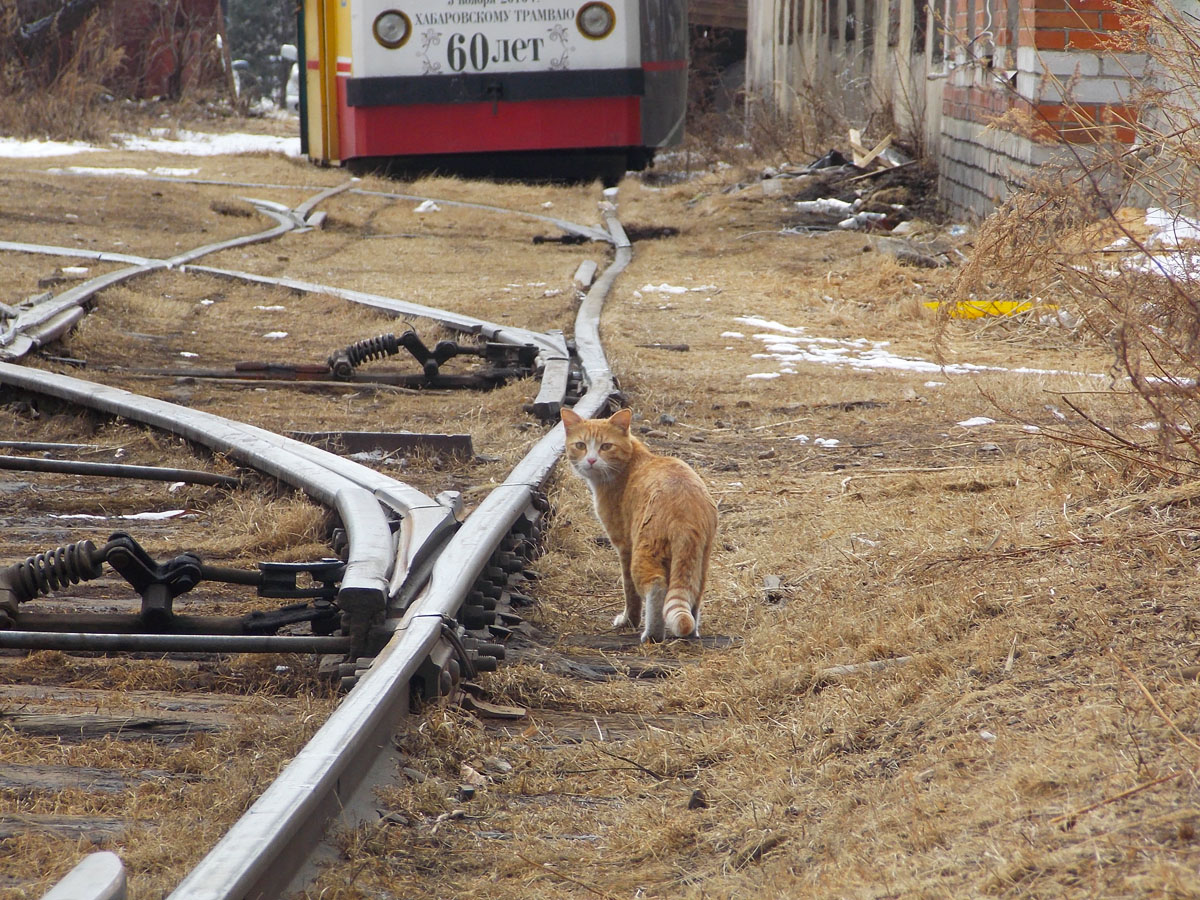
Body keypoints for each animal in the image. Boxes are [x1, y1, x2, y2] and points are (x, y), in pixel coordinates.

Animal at [559, 408, 715, 643]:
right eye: (581, 445)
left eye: (606, 446)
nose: (591, 460)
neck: (629, 464)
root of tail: (685, 508)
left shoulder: (624, 545)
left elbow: (629, 591)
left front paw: (628, 621)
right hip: (700, 559)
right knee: (694, 593)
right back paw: (691, 632)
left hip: (645, 551)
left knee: (656, 587)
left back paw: (652, 635)